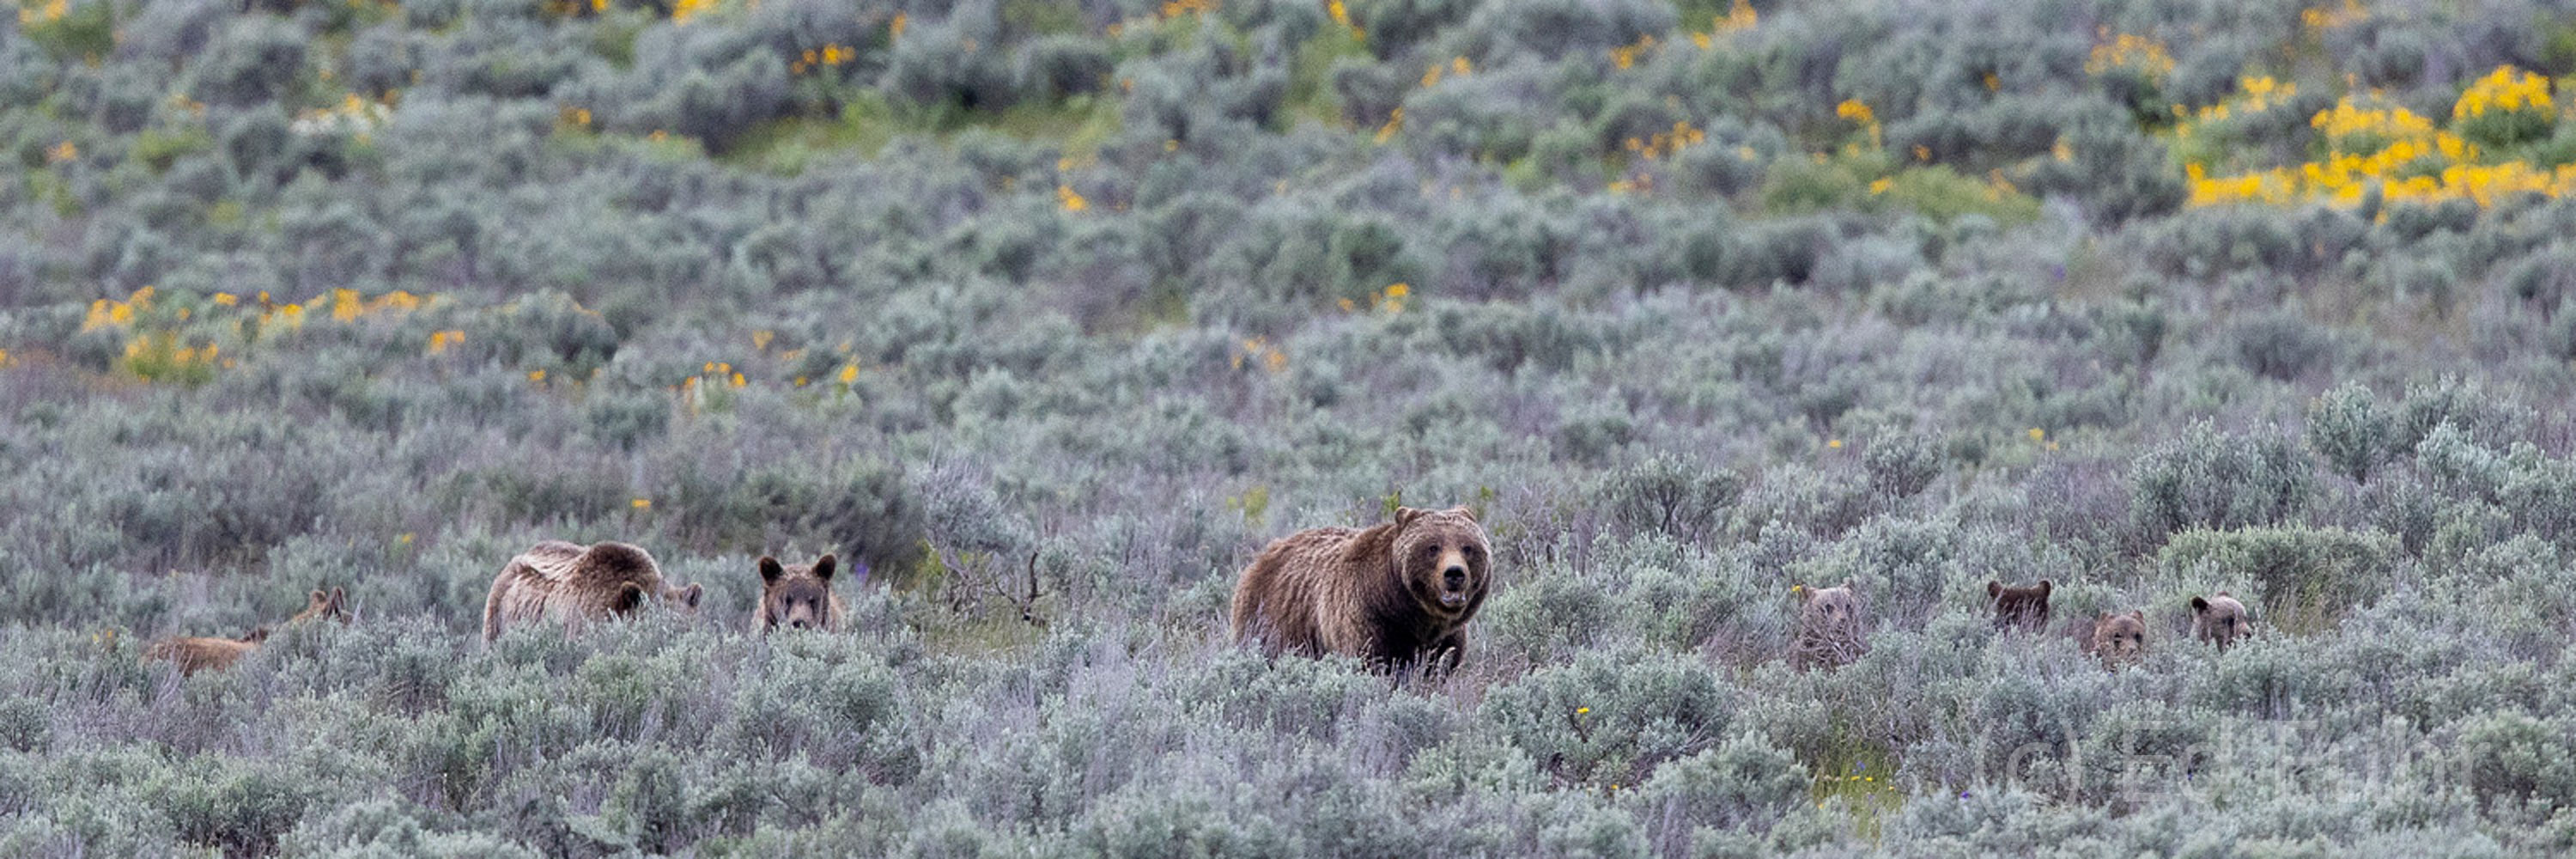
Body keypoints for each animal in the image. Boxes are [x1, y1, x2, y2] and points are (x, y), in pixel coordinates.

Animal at [1226, 505, 1494, 670]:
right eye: (1433, 547)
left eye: (1468, 547)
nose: (1454, 573)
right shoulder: (1370, 619)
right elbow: (1373, 660)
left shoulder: (1446, 637)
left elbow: (1441, 666)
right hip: (1269, 621)